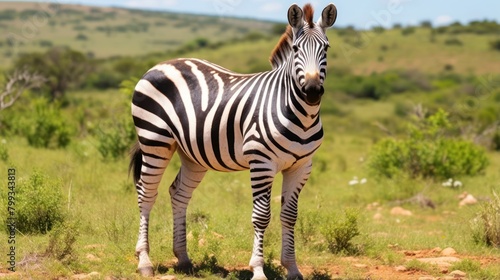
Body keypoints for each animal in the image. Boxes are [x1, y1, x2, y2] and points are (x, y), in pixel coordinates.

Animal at [131, 2, 338, 280]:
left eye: (326, 48)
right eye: (295, 49)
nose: (313, 91)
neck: (300, 114)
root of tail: (162, 64)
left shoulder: (301, 166)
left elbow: (290, 215)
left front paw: (293, 269)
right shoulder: (261, 163)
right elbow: (261, 216)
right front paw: (258, 270)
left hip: (192, 154)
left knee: (179, 193)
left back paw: (183, 258)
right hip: (155, 140)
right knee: (146, 193)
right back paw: (145, 261)